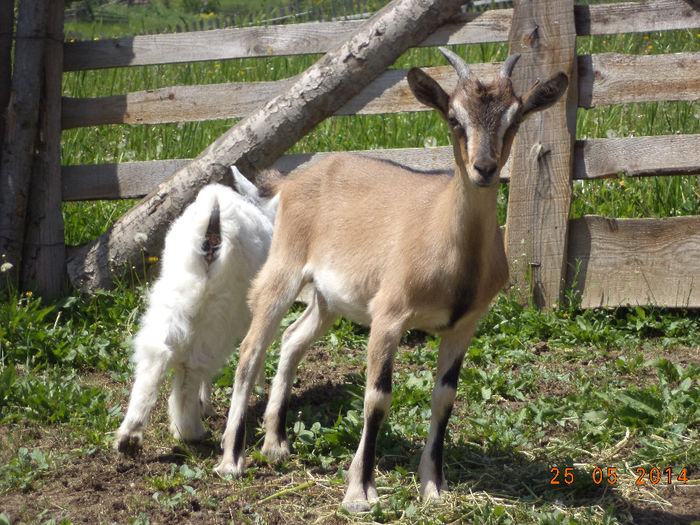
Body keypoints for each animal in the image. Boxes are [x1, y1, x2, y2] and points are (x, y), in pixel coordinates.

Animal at [114, 167, 276, 450]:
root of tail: (214, 215)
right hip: (222, 308)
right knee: (195, 364)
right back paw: (189, 430)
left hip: (176, 291)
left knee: (157, 352)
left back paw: (130, 433)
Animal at [213, 48, 568, 508]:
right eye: (454, 118)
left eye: (515, 119)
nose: (484, 168)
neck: (449, 246)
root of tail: (289, 184)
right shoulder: (389, 315)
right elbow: (377, 397)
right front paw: (359, 491)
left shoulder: (464, 326)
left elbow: (445, 397)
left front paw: (434, 485)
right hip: (284, 267)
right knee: (250, 350)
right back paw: (231, 460)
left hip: (328, 298)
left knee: (292, 338)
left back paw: (275, 443)